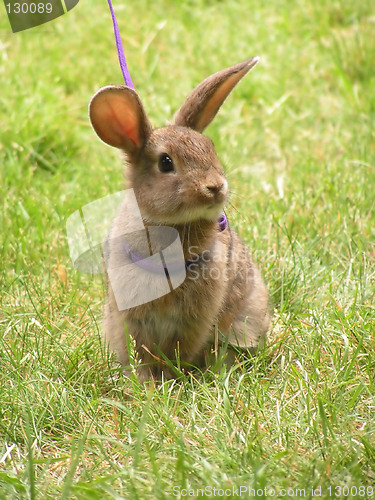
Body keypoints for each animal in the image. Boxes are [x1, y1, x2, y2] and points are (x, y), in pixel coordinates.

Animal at [88, 56, 270, 380]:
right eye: (165, 162)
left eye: (211, 149)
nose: (216, 187)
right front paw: (147, 384)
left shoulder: (195, 318)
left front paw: (175, 379)